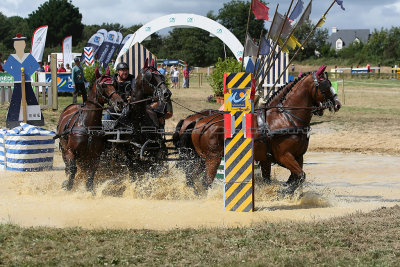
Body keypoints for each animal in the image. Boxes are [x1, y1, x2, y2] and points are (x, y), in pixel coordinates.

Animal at [174, 66, 340, 196]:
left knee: (191, 178)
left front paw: (287, 190)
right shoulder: (284, 156)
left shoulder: (297, 156)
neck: (287, 117)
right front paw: (283, 192)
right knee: (205, 181)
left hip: (201, 158)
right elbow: (299, 175)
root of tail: (199, 122)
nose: (337, 104)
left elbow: (295, 176)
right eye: (325, 86)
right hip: (212, 158)